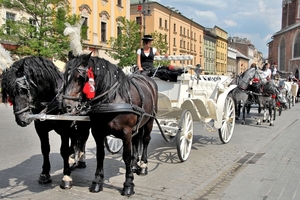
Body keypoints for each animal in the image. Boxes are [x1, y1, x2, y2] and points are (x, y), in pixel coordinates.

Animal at [1, 56, 90, 189]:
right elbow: (45, 149)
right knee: (75, 140)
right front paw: (45, 173)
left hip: (85, 125)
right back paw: (72, 159)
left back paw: (81, 160)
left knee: (82, 140)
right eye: (9, 93)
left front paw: (66, 176)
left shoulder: (64, 129)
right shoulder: (40, 128)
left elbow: (64, 150)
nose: (21, 119)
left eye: (22, 90)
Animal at [61, 52, 158, 196]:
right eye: (64, 77)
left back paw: (143, 165)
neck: (112, 99)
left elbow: (126, 156)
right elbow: (100, 155)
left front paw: (128, 184)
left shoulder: (126, 132)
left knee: (146, 140)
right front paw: (97, 181)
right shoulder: (97, 132)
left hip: (149, 121)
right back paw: (135, 164)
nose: (66, 106)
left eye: (80, 78)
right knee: (136, 141)